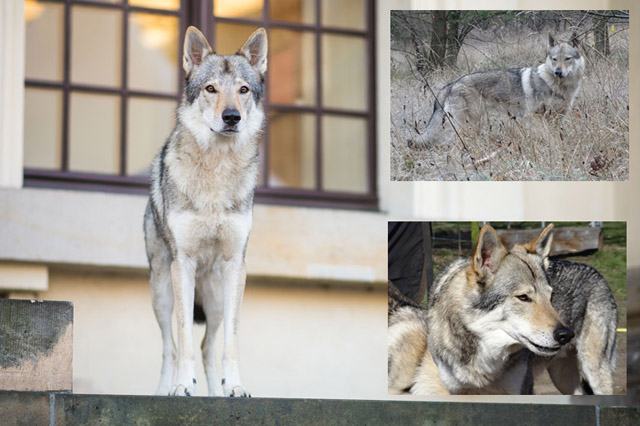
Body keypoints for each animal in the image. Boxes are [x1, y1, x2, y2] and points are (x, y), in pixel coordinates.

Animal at [143, 26, 267, 397]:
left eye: (243, 90)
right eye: (211, 89)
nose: (232, 117)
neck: (216, 170)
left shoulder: (235, 266)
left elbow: (230, 344)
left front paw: (236, 387)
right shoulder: (182, 264)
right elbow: (182, 340)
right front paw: (183, 386)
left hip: (214, 299)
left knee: (208, 348)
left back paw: (218, 393)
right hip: (162, 290)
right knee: (170, 347)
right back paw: (164, 391)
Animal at [389, 224, 618, 395]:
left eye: (550, 298)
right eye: (523, 297)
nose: (566, 335)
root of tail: (596, 271)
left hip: (594, 371)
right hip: (563, 378)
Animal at [408, 33, 585, 148]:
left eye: (567, 58)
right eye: (554, 59)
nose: (558, 72)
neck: (557, 86)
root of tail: (452, 84)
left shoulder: (557, 118)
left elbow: (556, 137)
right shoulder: (534, 116)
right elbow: (550, 138)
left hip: (474, 127)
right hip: (468, 127)